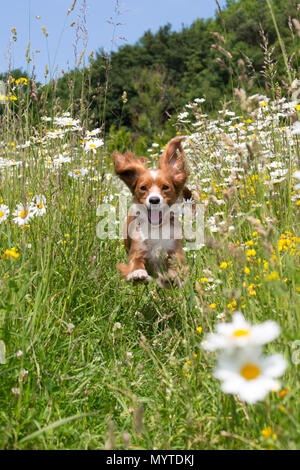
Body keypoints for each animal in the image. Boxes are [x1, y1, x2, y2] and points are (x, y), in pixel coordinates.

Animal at [111, 137, 191, 286]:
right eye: (143, 188)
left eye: (165, 187)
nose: (154, 200)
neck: (156, 229)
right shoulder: (137, 249)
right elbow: (135, 263)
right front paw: (138, 274)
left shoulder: (174, 251)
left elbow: (178, 268)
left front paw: (172, 277)